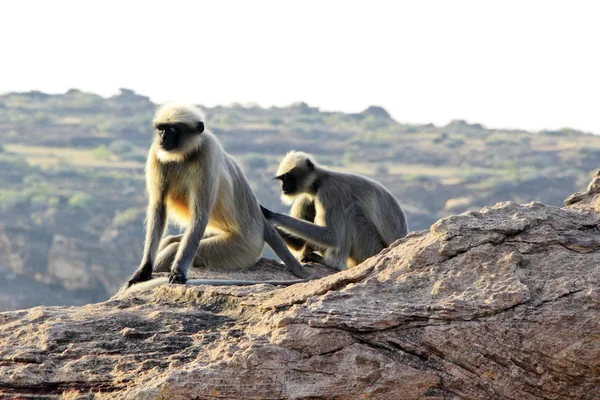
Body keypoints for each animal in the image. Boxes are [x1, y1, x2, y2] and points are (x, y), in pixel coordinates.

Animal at [125, 104, 316, 290]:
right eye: (161, 129)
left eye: (172, 130)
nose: (163, 138)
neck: (186, 154)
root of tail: (260, 223)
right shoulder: (156, 152)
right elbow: (159, 206)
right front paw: (144, 271)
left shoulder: (207, 152)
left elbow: (200, 213)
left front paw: (178, 272)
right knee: (170, 241)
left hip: (241, 248)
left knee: (173, 248)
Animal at [262, 152, 408, 270]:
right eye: (282, 179)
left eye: (288, 177)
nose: (283, 188)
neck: (318, 182)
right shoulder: (305, 198)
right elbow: (298, 244)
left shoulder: (329, 192)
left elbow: (332, 236)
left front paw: (270, 214)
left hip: (371, 250)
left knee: (351, 212)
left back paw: (332, 264)